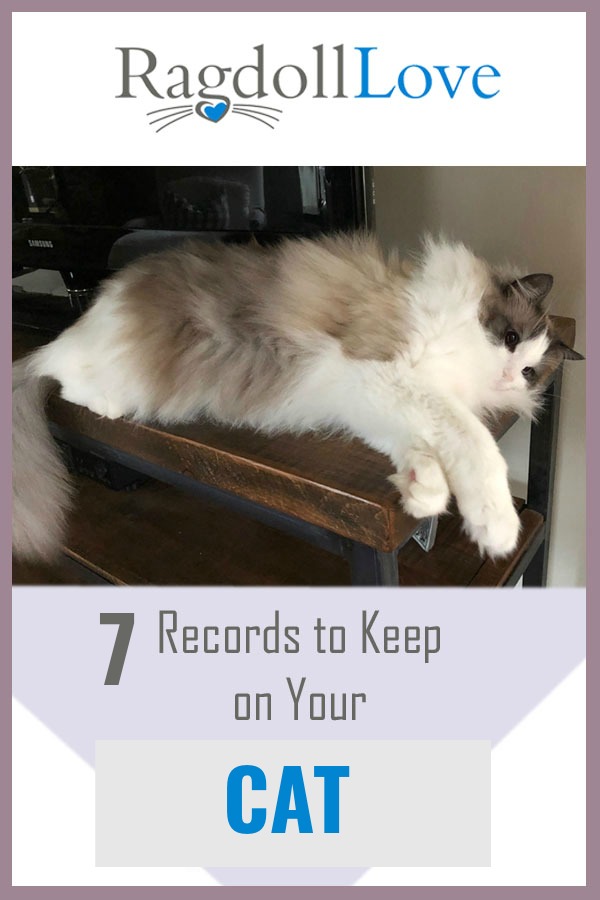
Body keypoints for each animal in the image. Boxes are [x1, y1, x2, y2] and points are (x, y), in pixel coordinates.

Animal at [11, 236, 580, 568]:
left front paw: (422, 493)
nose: (508, 375)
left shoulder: (366, 393)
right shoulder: (383, 370)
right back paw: (103, 403)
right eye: (509, 338)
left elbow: (412, 447)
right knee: (59, 375)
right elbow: (474, 442)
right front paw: (496, 525)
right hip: (111, 369)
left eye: (529, 372)